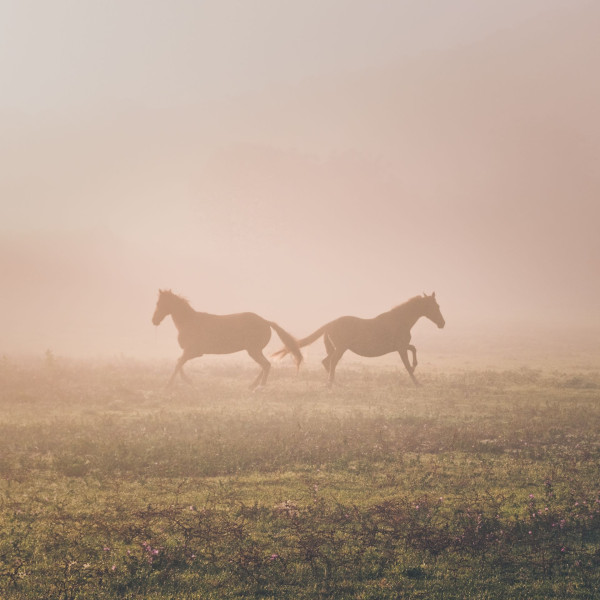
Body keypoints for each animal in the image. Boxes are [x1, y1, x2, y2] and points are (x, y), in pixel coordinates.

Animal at [152, 290, 302, 390]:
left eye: (159, 303)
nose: (154, 320)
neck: (190, 322)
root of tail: (265, 321)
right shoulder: (191, 352)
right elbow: (179, 362)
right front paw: (188, 381)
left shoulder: (194, 351)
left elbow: (178, 363)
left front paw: (169, 385)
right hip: (255, 350)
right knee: (265, 365)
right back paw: (252, 385)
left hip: (253, 350)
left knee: (266, 365)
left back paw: (260, 386)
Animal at [274, 292, 442, 386]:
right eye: (435, 306)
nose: (442, 323)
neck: (399, 320)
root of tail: (330, 323)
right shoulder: (400, 348)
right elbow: (407, 364)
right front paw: (417, 382)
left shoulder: (400, 346)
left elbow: (413, 349)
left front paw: (415, 367)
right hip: (341, 348)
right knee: (332, 361)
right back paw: (330, 383)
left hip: (336, 348)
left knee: (327, 362)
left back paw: (334, 382)